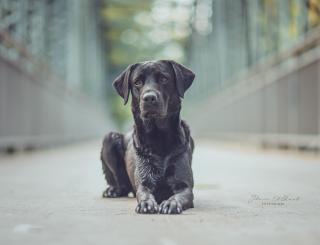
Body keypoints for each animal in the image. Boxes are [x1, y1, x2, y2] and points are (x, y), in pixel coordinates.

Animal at [100, 59, 195, 214]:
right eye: (137, 82)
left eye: (163, 78)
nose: (149, 98)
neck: (159, 137)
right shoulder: (144, 182)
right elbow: (143, 193)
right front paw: (146, 204)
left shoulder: (185, 186)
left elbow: (179, 195)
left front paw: (171, 203)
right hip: (109, 137)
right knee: (122, 185)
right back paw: (113, 190)